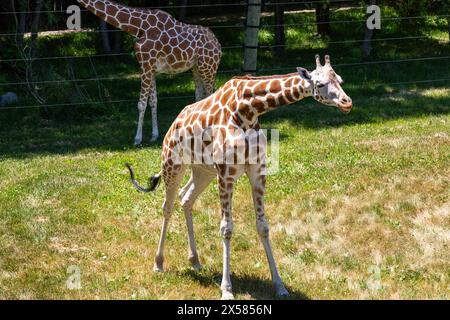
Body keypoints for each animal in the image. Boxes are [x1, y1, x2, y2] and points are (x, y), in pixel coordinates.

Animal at [77, 0, 221, 143]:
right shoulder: (150, 68)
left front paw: (137, 139)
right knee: (200, 97)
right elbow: (153, 101)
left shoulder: (145, 65)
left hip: (208, 66)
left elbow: (141, 104)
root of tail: (218, 44)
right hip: (196, 68)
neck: (138, 26)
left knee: (211, 95)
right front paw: (154, 135)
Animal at [125, 55, 354, 300]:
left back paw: (195, 260)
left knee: (186, 198)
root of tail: (174, 123)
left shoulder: (256, 170)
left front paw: (280, 285)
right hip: (173, 164)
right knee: (167, 206)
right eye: (319, 84)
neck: (249, 111)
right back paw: (158, 263)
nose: (347, 102)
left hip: (203, 171)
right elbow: (226, 228)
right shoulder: (226, 173)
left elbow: (263, 226)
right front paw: (227, 289)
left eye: (340, 80)